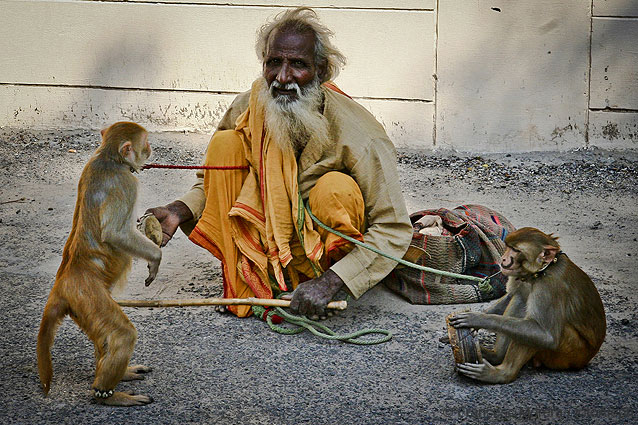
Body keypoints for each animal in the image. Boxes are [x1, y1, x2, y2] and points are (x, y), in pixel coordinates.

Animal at [37, 121, 162, 404]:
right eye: (146, 143)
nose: (151, 149)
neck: (109, 158)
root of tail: (63, 283)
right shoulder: (126, 182)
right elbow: (115, 234)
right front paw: (155, 258)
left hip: (83, 306)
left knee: (106, 335)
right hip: (87, 296)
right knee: (122, 335)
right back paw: (106, 394)